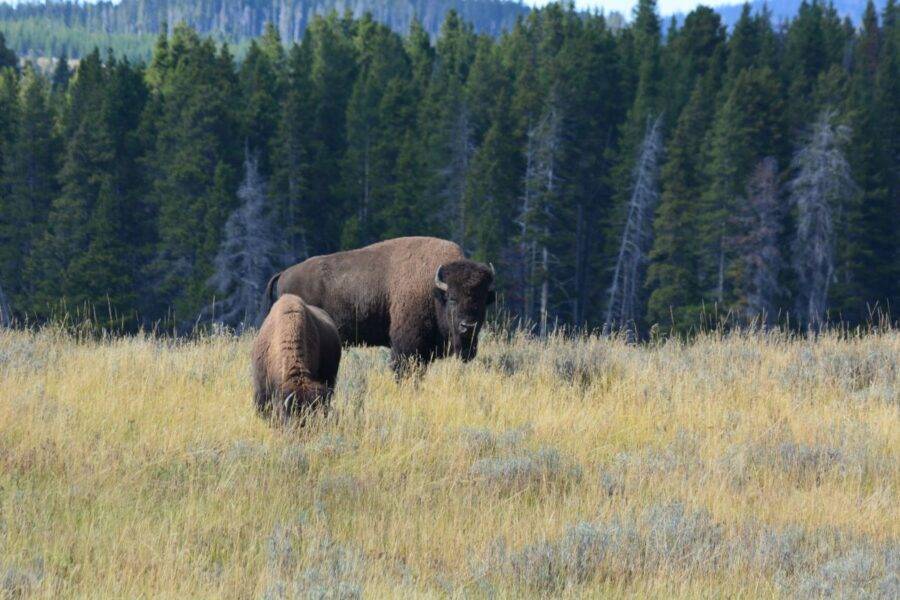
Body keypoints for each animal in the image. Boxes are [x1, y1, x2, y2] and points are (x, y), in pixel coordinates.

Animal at [264, 237, 496, 372]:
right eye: (452, 298)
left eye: (482, 300)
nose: (468, 326)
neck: (433, 287)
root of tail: (284, 273)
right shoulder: (407, 345)